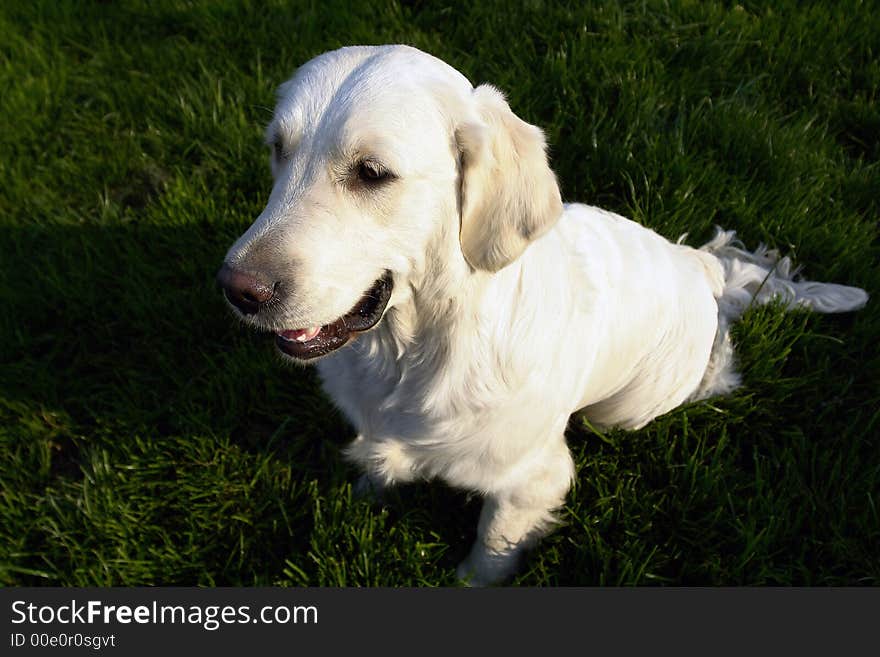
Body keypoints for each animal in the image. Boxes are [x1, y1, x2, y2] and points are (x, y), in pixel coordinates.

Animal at [218, 43, 868, 580]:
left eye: (372, 173)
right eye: (277, 149)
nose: (235, 289)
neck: (414, 350)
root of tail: (700, 268)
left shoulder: (534, 481)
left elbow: (489, 551)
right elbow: (375, 474)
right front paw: (363, 496)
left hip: (627, 410)